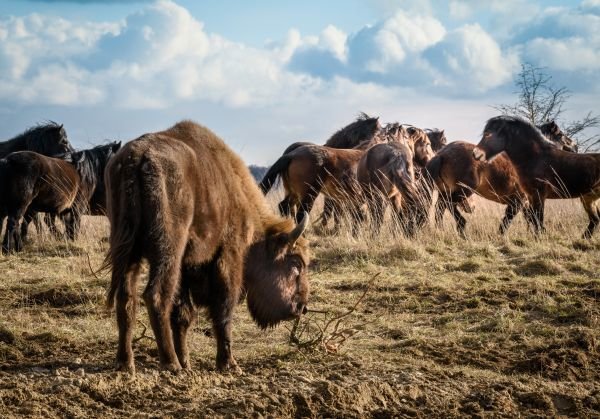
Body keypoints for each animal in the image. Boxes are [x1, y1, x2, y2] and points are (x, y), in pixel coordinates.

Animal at [104, 120, 310, 372]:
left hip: (127, 249)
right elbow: (223, 310)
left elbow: (183, 315)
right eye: (296, 263)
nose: (302, 307)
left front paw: (188, 361)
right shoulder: (228, 256)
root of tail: (137, 157)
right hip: (168, 249)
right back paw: (171, 364)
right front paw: (228, 364)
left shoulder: (186, 267)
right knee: (156, 296)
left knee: (126, 299)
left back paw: (126, 362)